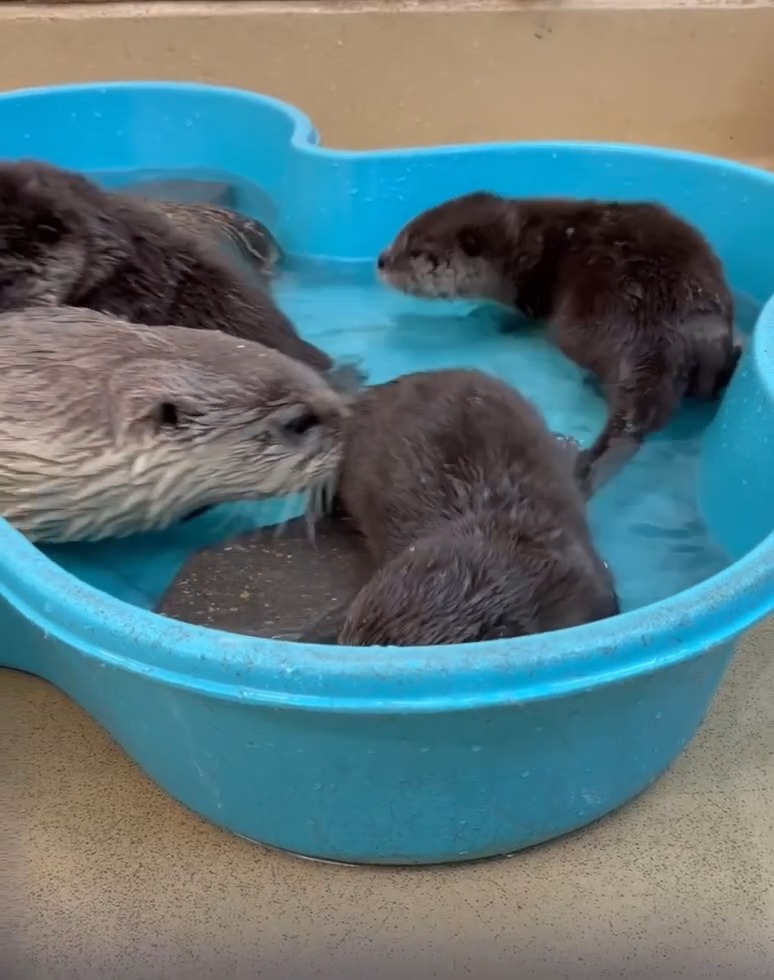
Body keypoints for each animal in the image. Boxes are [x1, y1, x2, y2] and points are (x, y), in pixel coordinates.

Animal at [377, 192, 739, 492]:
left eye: (416, 251)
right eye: (401, 233)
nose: (380, 260)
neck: (522, 246)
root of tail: (661, 336)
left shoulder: (530, 294)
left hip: (585, 322)